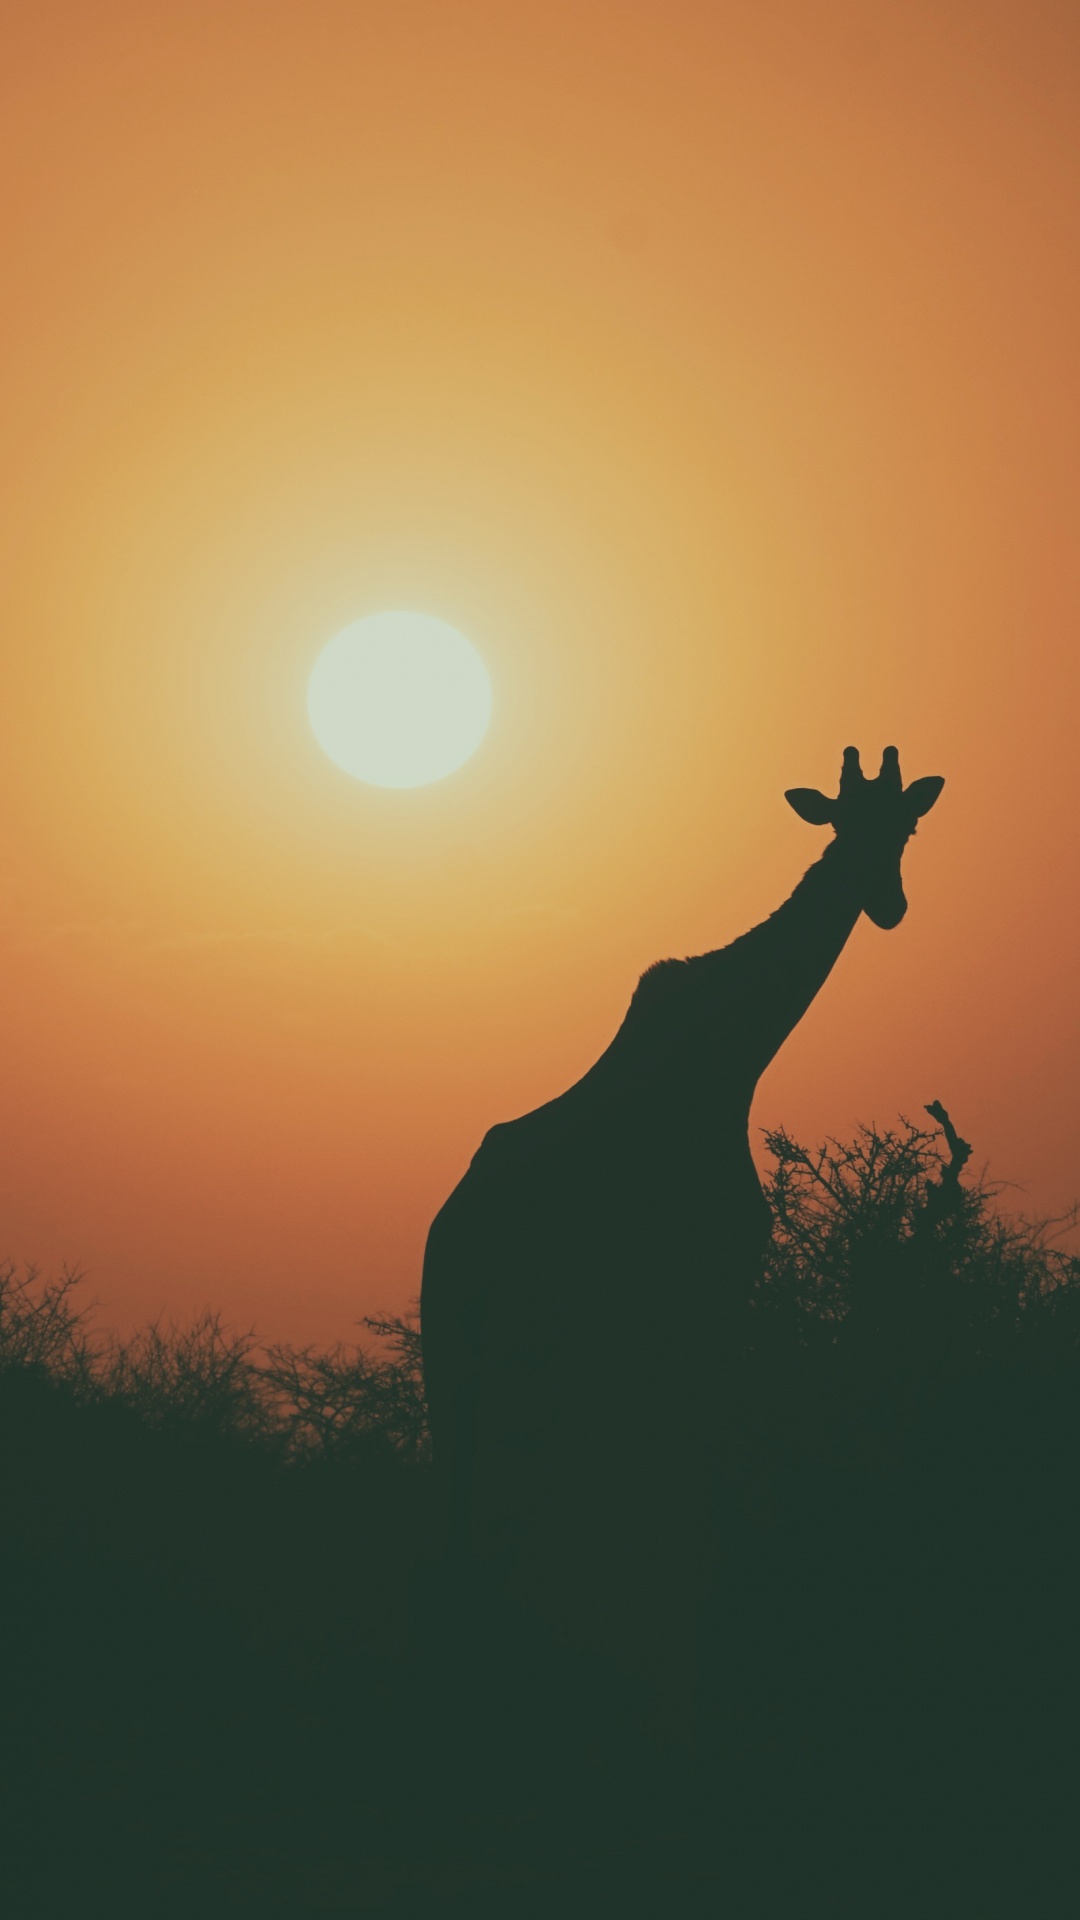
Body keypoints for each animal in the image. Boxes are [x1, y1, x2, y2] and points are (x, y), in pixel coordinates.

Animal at [420, 745, 944, 1710]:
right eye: (844, 824)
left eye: (909, 827)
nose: (887, 906)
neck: (736, 1053)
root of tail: (447, 1242)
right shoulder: (711, 1284)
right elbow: (694, 1509)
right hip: (512, 1356)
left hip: (474, 1357)